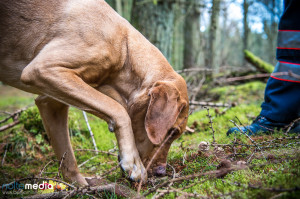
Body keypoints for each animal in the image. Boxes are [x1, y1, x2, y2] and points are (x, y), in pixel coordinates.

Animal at [0, 0, 189, 185]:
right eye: (172, 132)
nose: (160, 172)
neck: (125, 50)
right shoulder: (44, 70)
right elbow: (117, 109)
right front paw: (133, 161)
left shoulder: (50, 103)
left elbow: (67, 157)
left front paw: (79, 186)